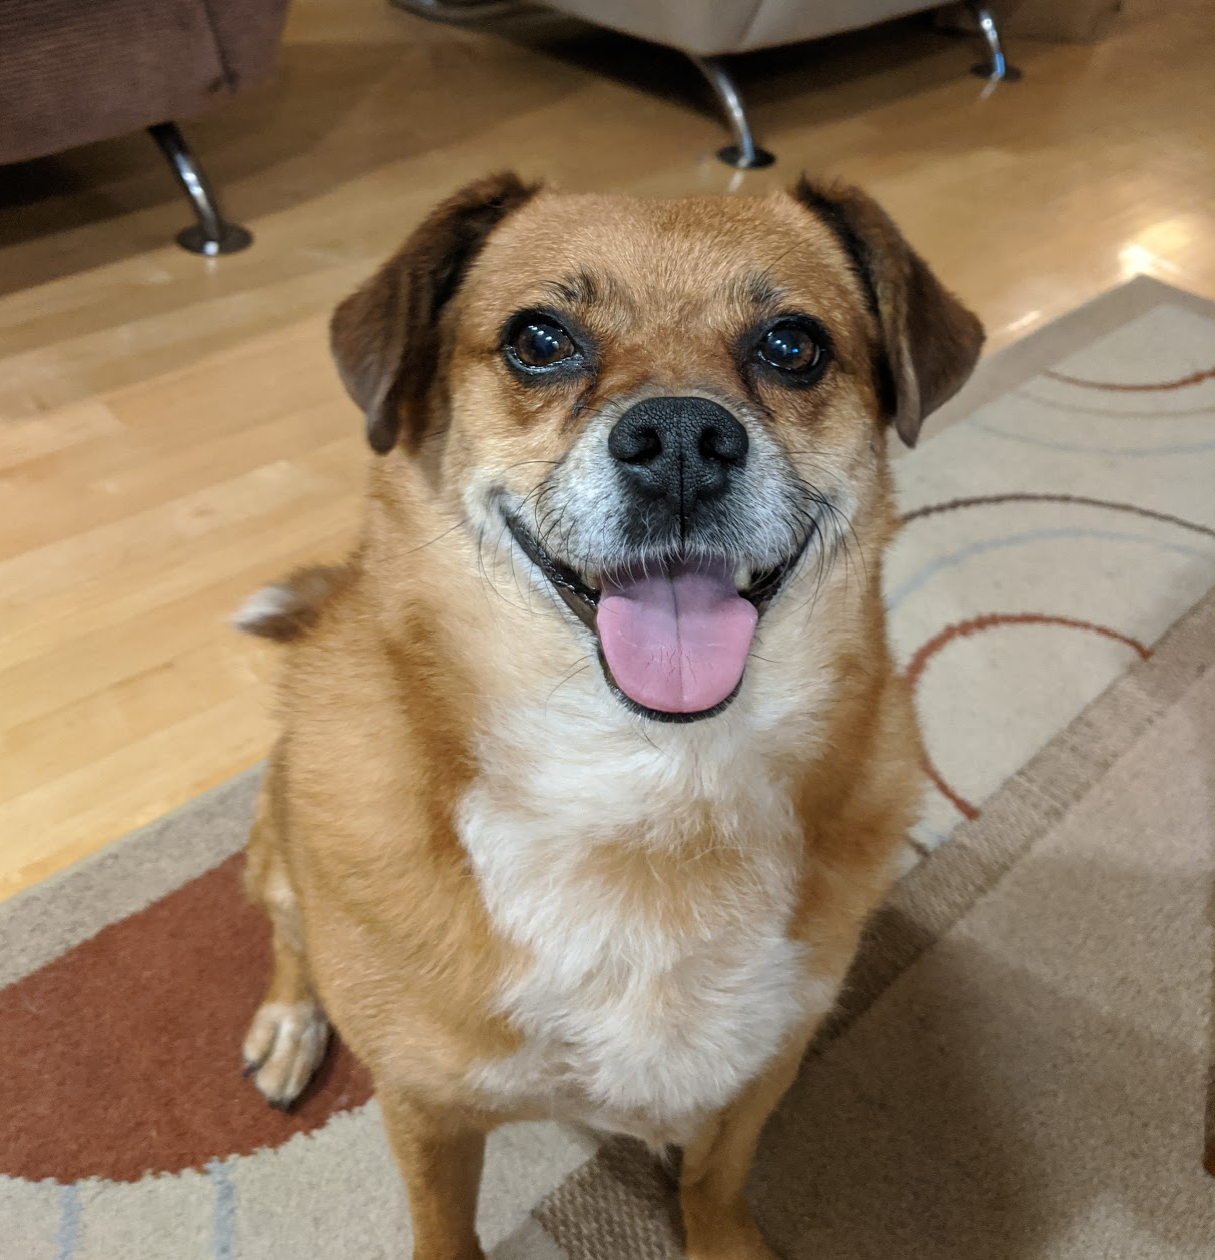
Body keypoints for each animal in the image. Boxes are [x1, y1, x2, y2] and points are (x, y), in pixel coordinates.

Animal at [236, 170, 988, 1260]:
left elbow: (716, 1182)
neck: (647, 787)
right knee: (287, 926)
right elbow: (444, 1229)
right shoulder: (427, 1111)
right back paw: (293, 1020)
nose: (678, 439)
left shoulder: (762, 1068)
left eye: (792, 345)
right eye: (538, 339)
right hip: (277, 835)